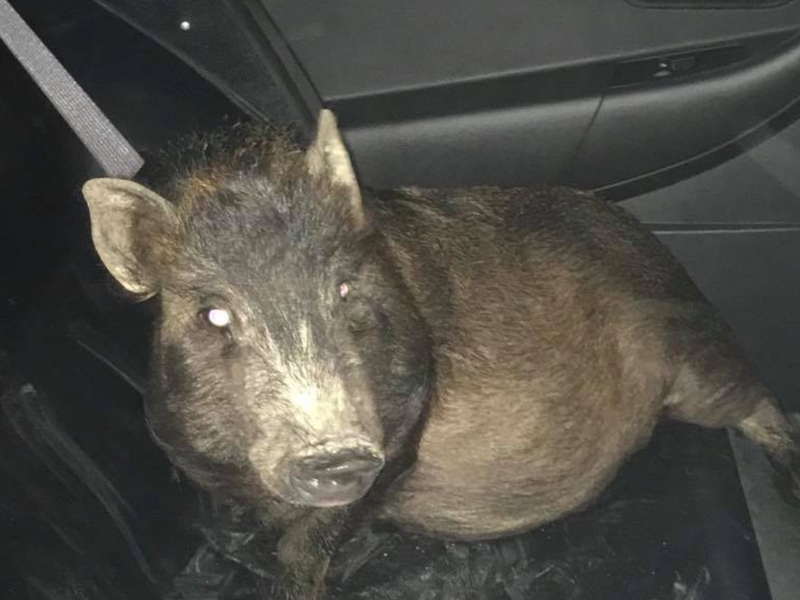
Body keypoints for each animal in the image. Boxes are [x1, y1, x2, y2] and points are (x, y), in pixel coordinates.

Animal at [81, 110, 800, 600]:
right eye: (214, 314)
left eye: (346, 288)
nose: (334, 451)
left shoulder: (400, 422)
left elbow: (313, 539)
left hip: (694, 352)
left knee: (761, 400)